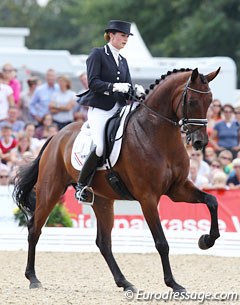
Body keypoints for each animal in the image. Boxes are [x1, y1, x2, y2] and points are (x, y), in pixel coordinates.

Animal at [12, 67, 219, 292]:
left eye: (210, 101)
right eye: (192, 101)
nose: (200, 142)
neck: (156, 134)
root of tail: (56, 136)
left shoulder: (178, 189)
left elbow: (212, 201)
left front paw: (206, 240)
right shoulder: (148, 198)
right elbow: (161, 242)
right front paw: (173, 283)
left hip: (102, 201)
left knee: (104, 243)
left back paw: (125, 282)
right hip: (50, 191)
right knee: (34, 229)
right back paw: (33, 278)